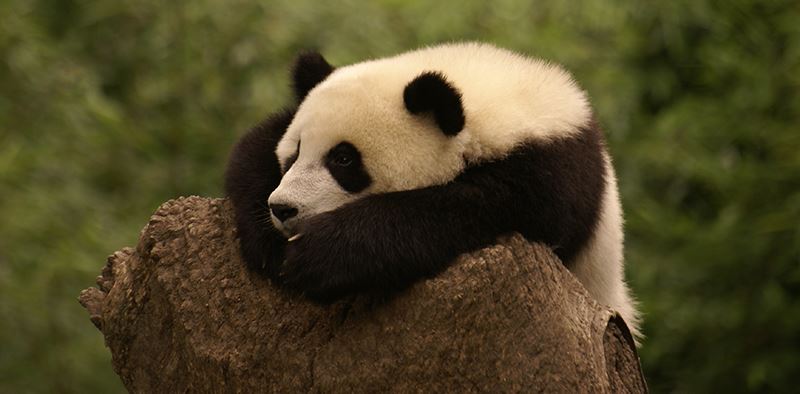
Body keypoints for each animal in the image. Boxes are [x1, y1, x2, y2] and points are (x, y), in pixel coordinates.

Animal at [225, 42, 644, 338]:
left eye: (343, 160)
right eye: (294, 153)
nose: (283, 208)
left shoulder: (549, 174)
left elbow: (468, 210)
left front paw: (321, 255)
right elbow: (252, 146)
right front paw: (267, 242)